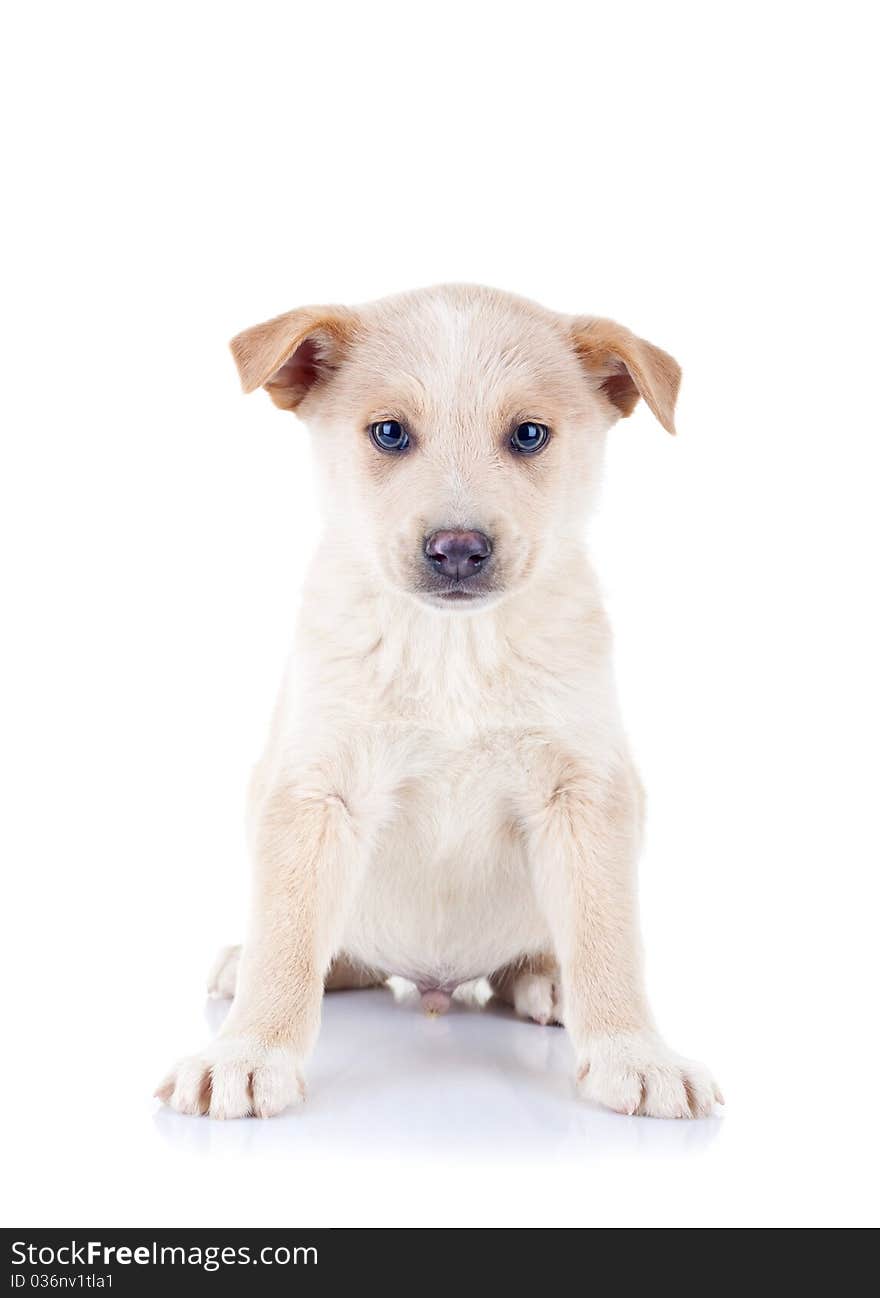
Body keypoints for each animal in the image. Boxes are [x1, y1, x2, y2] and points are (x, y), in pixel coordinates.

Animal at [157, 289, 721, 1121]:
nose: (458, 549)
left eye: (529, 435)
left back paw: (547, 979)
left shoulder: (585, 792)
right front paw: (248, 1052)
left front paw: (633, 1051)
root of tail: (436, 985)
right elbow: (288, 937)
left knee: (538, 956)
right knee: (327, 954)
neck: (455, 647)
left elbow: (606, 936)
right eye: (390, 433)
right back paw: (249, 962)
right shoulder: (316, 793)